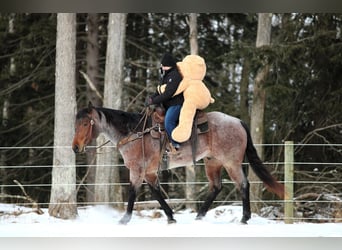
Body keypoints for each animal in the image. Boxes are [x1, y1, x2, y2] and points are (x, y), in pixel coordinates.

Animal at [71, 101, 284, 225]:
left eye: (85, 124)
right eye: (75, 125)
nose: (75, 147)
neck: (135, 133)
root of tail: (238, 121)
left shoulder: (137, 170)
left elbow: (132, 192)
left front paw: (124, 219)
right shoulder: (149, 172)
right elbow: (156, 192)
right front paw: (171, 216)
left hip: (231, 163)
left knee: (243, 184)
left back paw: (244, 218)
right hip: (212, 163)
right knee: (216, 186)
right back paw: (200, 215)